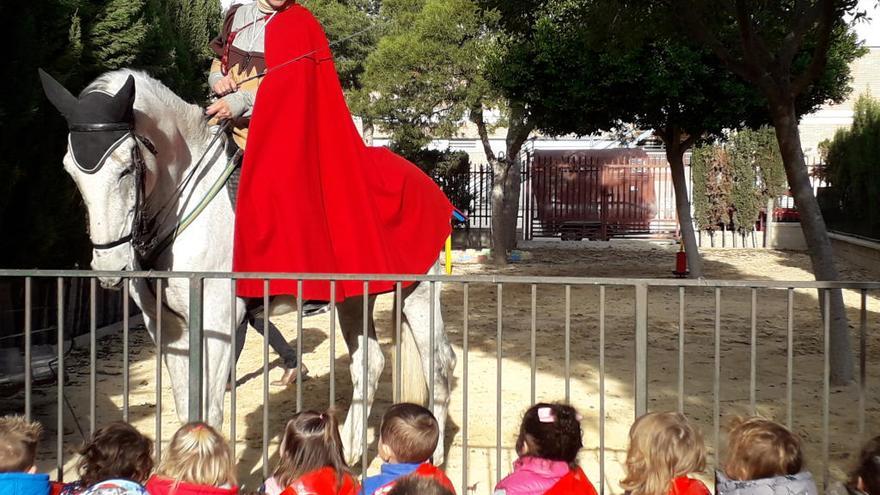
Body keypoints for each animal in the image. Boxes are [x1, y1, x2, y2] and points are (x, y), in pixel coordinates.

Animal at [38, 70, 458, 464]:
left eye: (127, 167)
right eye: (70, 171)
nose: (110, 267)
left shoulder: (220, 323)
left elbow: (209, 410)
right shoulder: (167, 328)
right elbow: (185, 406)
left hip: (419, 291)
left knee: (438, 362)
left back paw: (433, 454)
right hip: (355, 298)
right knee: (369, 363)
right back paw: (353, 453)